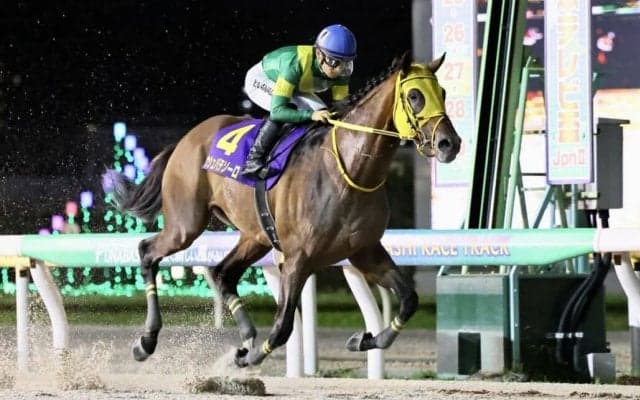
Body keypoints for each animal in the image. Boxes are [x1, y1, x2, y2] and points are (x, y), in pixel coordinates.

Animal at [104, 52, 461, 367]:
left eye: (442, 93)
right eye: (414, 95)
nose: (450, 144)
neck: (348, 170)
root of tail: (185, 140)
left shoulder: (364, 251)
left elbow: (409, 300)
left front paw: (364, 339)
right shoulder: (297, 258)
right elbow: (283, 327)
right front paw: (250, 357)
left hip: (255, 235)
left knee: (222, 272)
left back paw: (247, 334)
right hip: (185, 224)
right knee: (148, 252)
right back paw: (147, 341)